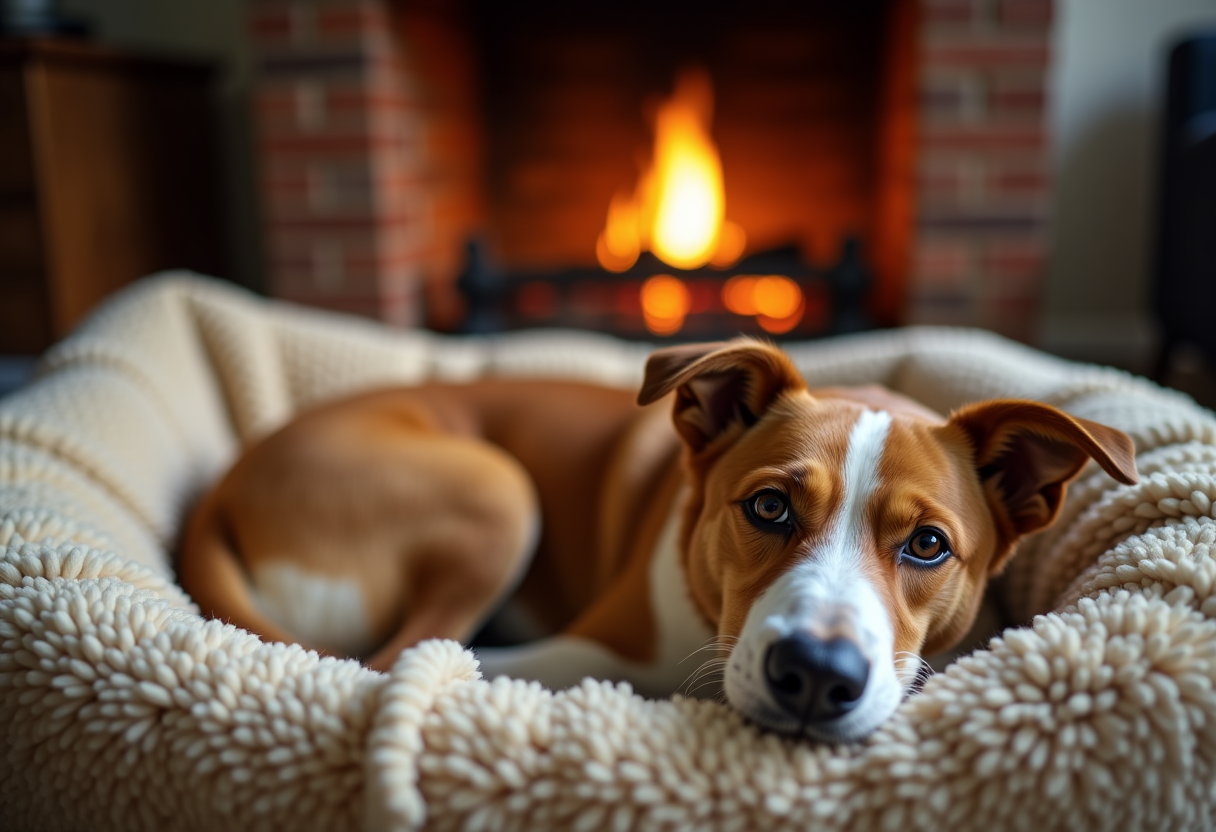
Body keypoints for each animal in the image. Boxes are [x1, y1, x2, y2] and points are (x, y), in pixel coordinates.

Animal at [179, 338, 1138, 739]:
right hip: (498, 495)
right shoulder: (579, 647)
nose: (815, 675)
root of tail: (226, 484)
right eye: (769, 509)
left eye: (929, 547)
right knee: (393, 655)